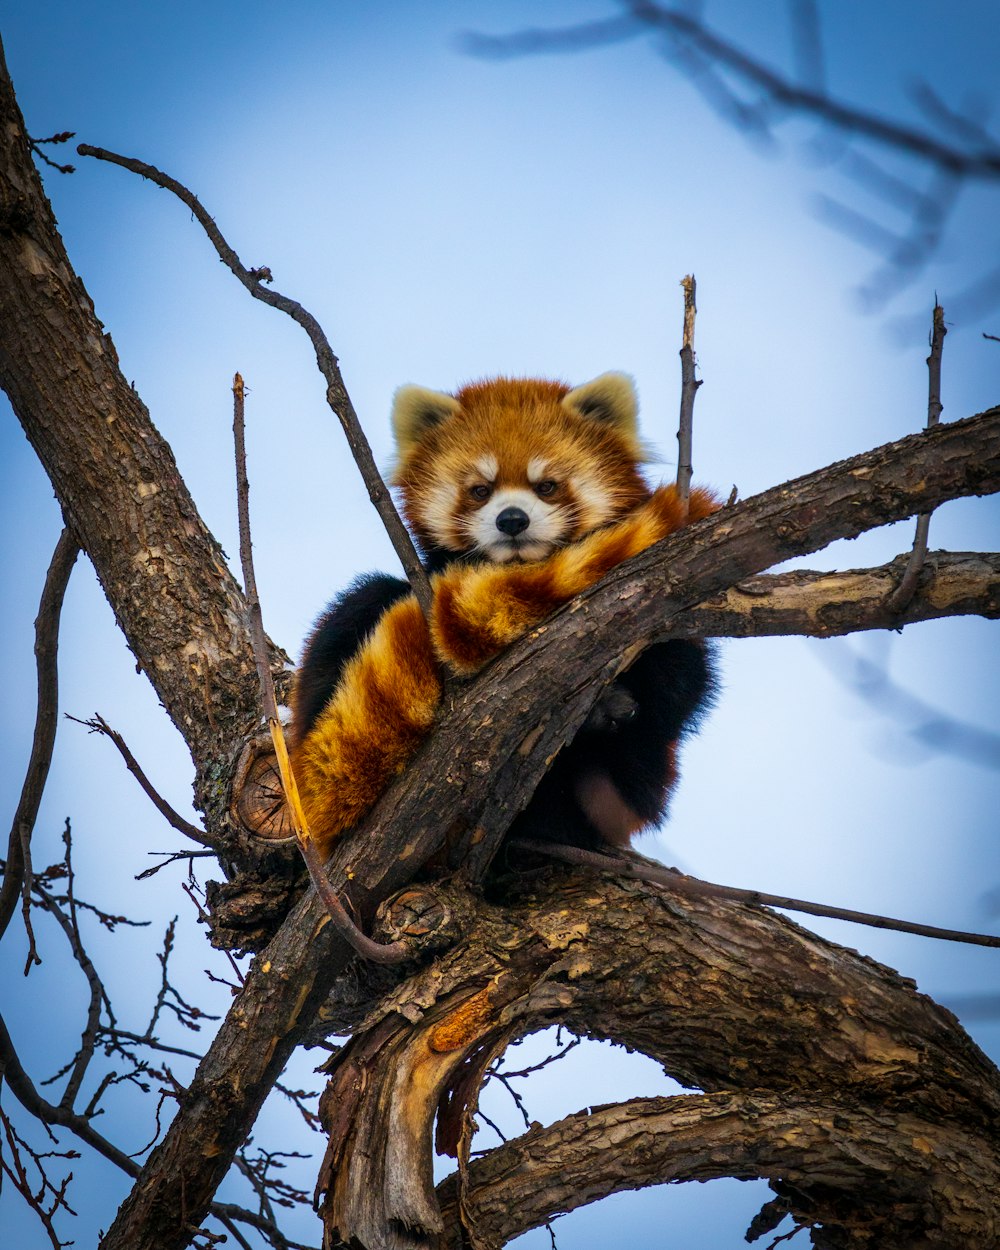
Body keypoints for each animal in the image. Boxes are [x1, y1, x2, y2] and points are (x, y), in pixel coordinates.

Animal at [288, 372, 720, 860]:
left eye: (547, 485)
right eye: (480, 490)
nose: (511, 520)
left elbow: (682, 686)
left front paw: (617, 700)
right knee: (361, 605)